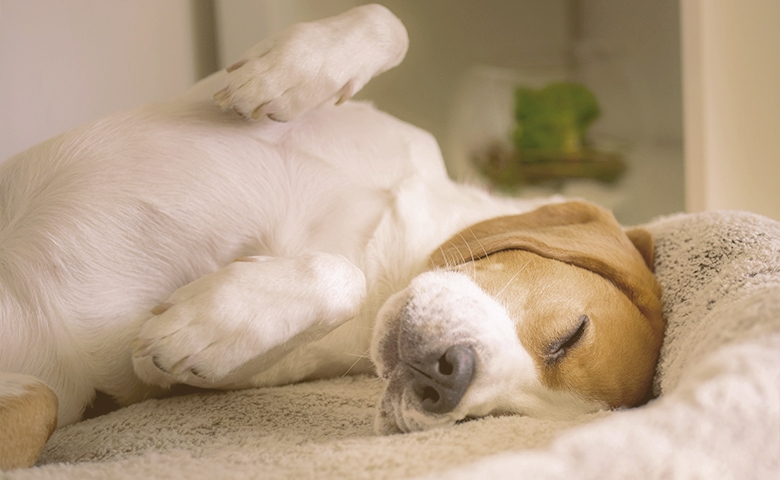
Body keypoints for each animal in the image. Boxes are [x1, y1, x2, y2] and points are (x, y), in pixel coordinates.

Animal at [0, 3, 664, 468]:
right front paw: (280, 75)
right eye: (569, 336)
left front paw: (199, 326)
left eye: (493, 420)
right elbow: (389, 23)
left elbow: (339, 278)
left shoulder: (184, 381)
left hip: (44, 401)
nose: (449, 380)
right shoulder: (195, 95)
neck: (395, 247)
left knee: (43, 402)